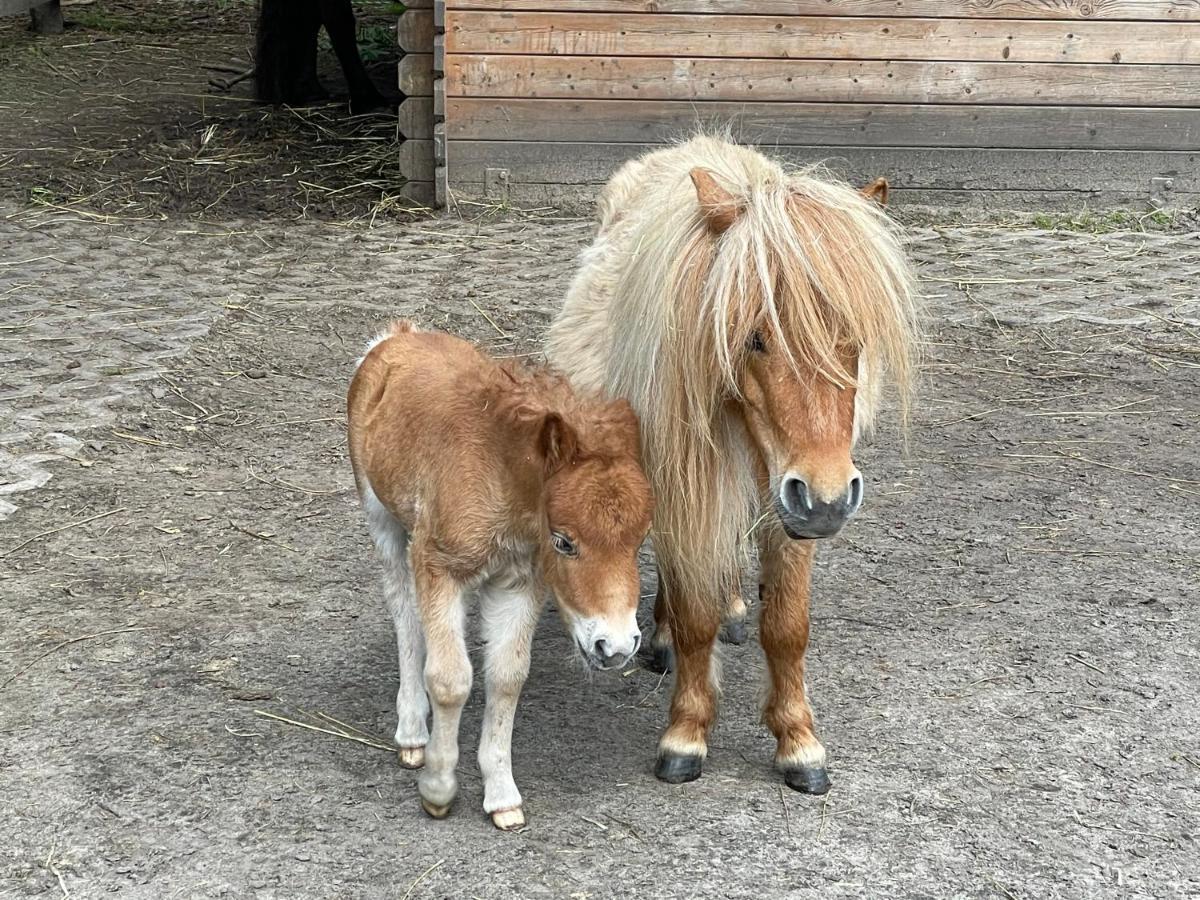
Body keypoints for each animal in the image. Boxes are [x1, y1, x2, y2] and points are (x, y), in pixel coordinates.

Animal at [348, 321, 652, 830]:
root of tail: (397, 337)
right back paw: (412, 733)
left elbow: (506, 676)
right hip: (382, 518)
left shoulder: (518, 583)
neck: (499, 476)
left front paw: (503, 796)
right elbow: (450, 679)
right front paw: (438, 789)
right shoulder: (439, 567)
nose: (615, 647)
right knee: (404, 613)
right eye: (564, 541)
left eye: (640, 539)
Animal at [547, 135, 916, 796]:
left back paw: (735, 608)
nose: (829, 500)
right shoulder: (688, 488)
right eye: (754, 337)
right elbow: (694, 617)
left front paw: (798, 741)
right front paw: (686, 733)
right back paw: (663, 638)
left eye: (853, 337)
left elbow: (787, 625)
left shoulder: (790, 505)